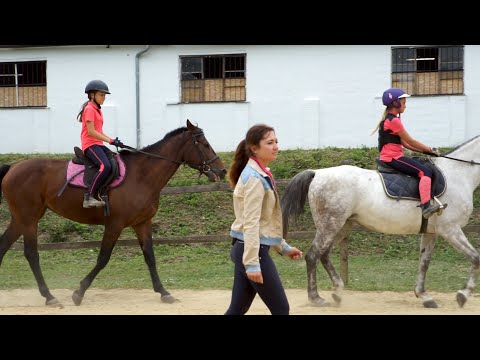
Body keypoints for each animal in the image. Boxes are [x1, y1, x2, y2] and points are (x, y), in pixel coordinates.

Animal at [0, 119, 227, 308]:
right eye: (204, 144)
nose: (222, 171)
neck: (141, 176)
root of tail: (13, 167)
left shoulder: (142, 223)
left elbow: (150, 257)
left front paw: (164, 292)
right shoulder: (114, 225)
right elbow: (103, 258)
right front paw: (79, 292)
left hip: (22, 219)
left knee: (5, 245)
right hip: (29, 219)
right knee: (31, 254)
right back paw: (49, 296)